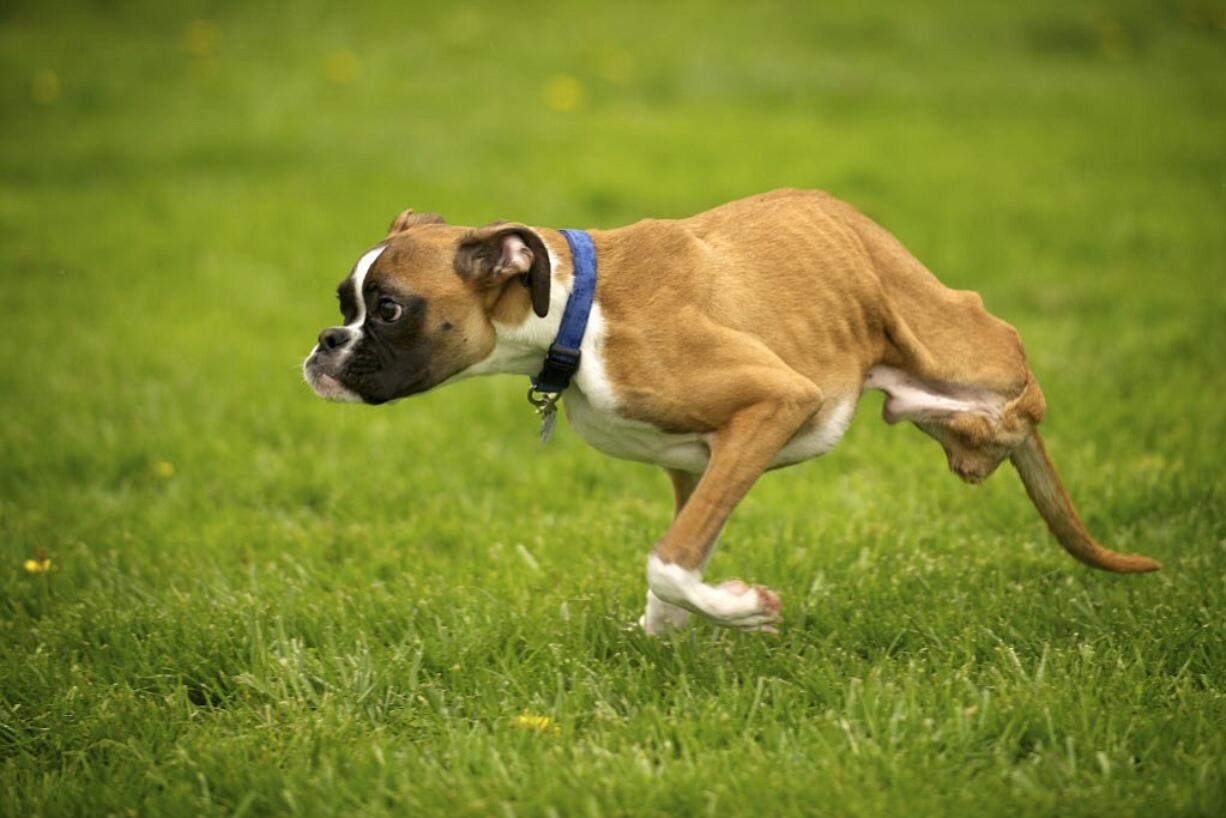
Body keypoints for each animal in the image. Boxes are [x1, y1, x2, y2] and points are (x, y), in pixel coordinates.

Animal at [301, 190, 1152, 632]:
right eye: (346, 303)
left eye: (388, 309)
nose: (324, 343)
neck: (575, 310)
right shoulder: (699, 464)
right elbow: (680, 556)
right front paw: (669, 631)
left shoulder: (775, 401)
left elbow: (669, 559)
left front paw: (740, 610)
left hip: (948, 335)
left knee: (1007, 350)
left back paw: (1005, 412)